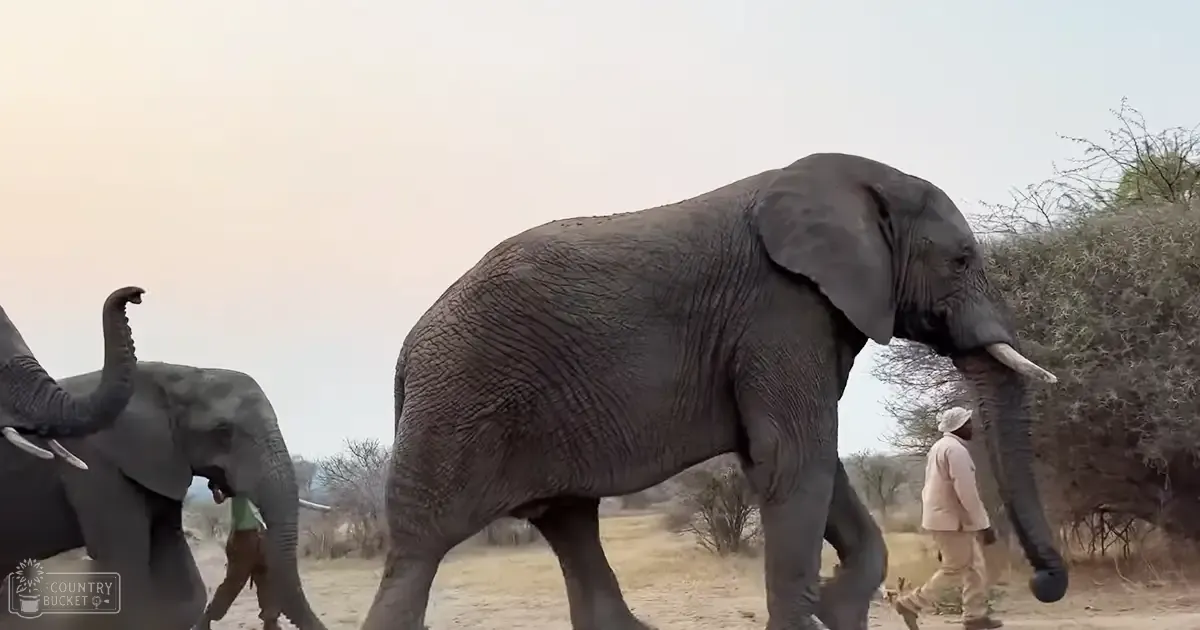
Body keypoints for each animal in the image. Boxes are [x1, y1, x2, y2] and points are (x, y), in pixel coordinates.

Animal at [360, 152, 1068, 630]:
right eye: (961, 260)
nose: (1044, 584)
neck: (855, 183)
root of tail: (407, 351)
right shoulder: (779, 309)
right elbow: (793, 458)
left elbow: (800, 462)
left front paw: (838, 606)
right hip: (456, 404)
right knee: (419, 551)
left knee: (570, 524)